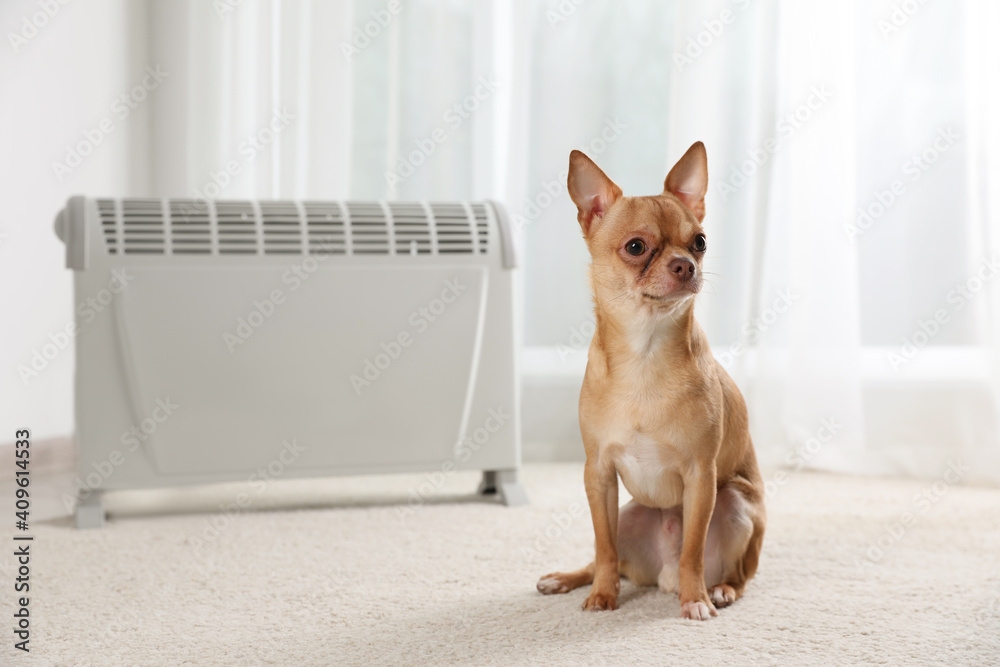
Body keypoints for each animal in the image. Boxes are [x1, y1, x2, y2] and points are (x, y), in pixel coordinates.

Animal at [540, 142, 764, 620]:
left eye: (700, 242)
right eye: (636, 247)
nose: (685, 265)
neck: (645, 354)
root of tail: (660, 577)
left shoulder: (701, 477)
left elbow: (692, 549)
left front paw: (695, 599)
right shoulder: (599, 474)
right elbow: (603, 548)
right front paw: (602, 596)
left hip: (736, 502)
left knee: (739, 574)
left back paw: (718, 590)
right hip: (627, 514)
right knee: (601, 555)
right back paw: (566, 579)